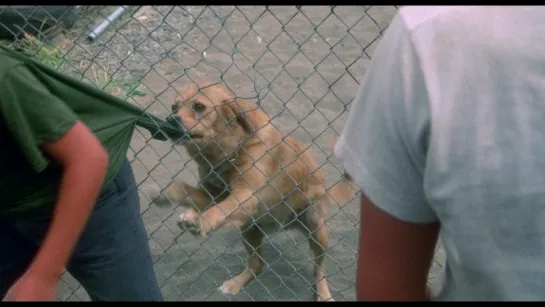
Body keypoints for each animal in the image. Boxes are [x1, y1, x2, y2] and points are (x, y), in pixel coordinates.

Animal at [149, 82, 356, 304]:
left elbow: (220, 210)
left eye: (199, 106)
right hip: (249, 228)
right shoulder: (215, 194)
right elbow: (181, 187)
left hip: (317, 229)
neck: (229, 150)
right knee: (257, 264)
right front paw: (171, 201)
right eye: (174, 107)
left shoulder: (245, 195)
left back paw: (324, 294)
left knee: (319, 270)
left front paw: (202, 221)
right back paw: (234, 284)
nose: (171, 119)